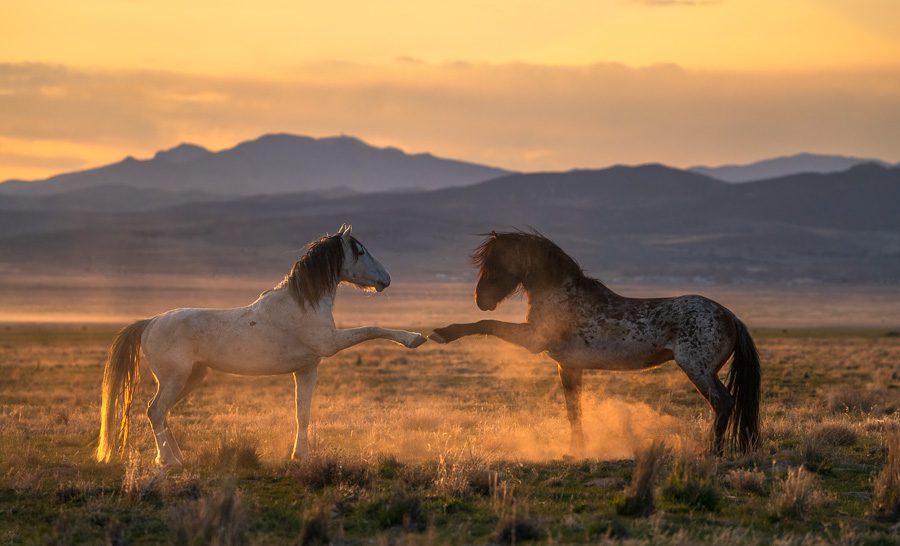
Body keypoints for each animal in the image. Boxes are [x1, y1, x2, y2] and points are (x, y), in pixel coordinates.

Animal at [96, 224, 427, 468]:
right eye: (359, 250)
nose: (386, 279)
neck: (302, 303)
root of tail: (150, 322)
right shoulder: (330, 343)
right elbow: (372, 328)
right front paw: (414, 339)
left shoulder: (307, 369)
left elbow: (302, 412)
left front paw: (301, 456)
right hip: (174, 379)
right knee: (155, 411)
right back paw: (169, 462)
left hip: (191, 378)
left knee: (163, 413)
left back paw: (175, 457)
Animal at [429, 231, 760, 455]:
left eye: (497, 262)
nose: (481, 299)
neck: (561, 294)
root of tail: (729, 315)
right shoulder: (568, 366)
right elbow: (574, 410)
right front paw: (577, 449)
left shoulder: (533, 339)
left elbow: (486, 325)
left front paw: (442, 333)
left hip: (697, 370)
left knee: (723, 402)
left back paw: (712, 452)